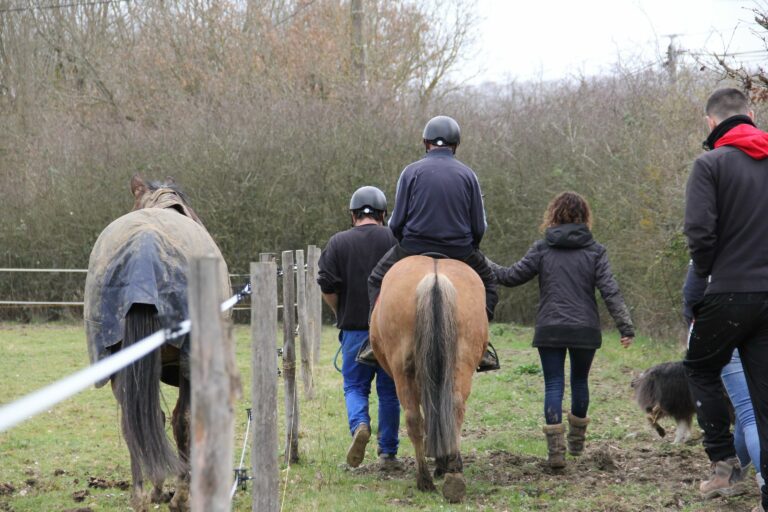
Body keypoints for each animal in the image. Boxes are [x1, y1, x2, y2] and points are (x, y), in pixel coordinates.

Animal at [84, 174, 230, 510]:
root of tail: (144, 249)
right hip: (190, 359)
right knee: (182, 419)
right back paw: (180, 495)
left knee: (134, 422)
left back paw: (141, 496)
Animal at [368, 254, 488, 502]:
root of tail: (435, 278)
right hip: (458, 363)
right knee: (451, 410)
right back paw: (450, 473)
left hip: (405, 372)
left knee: (416, 418)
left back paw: (426, 477)